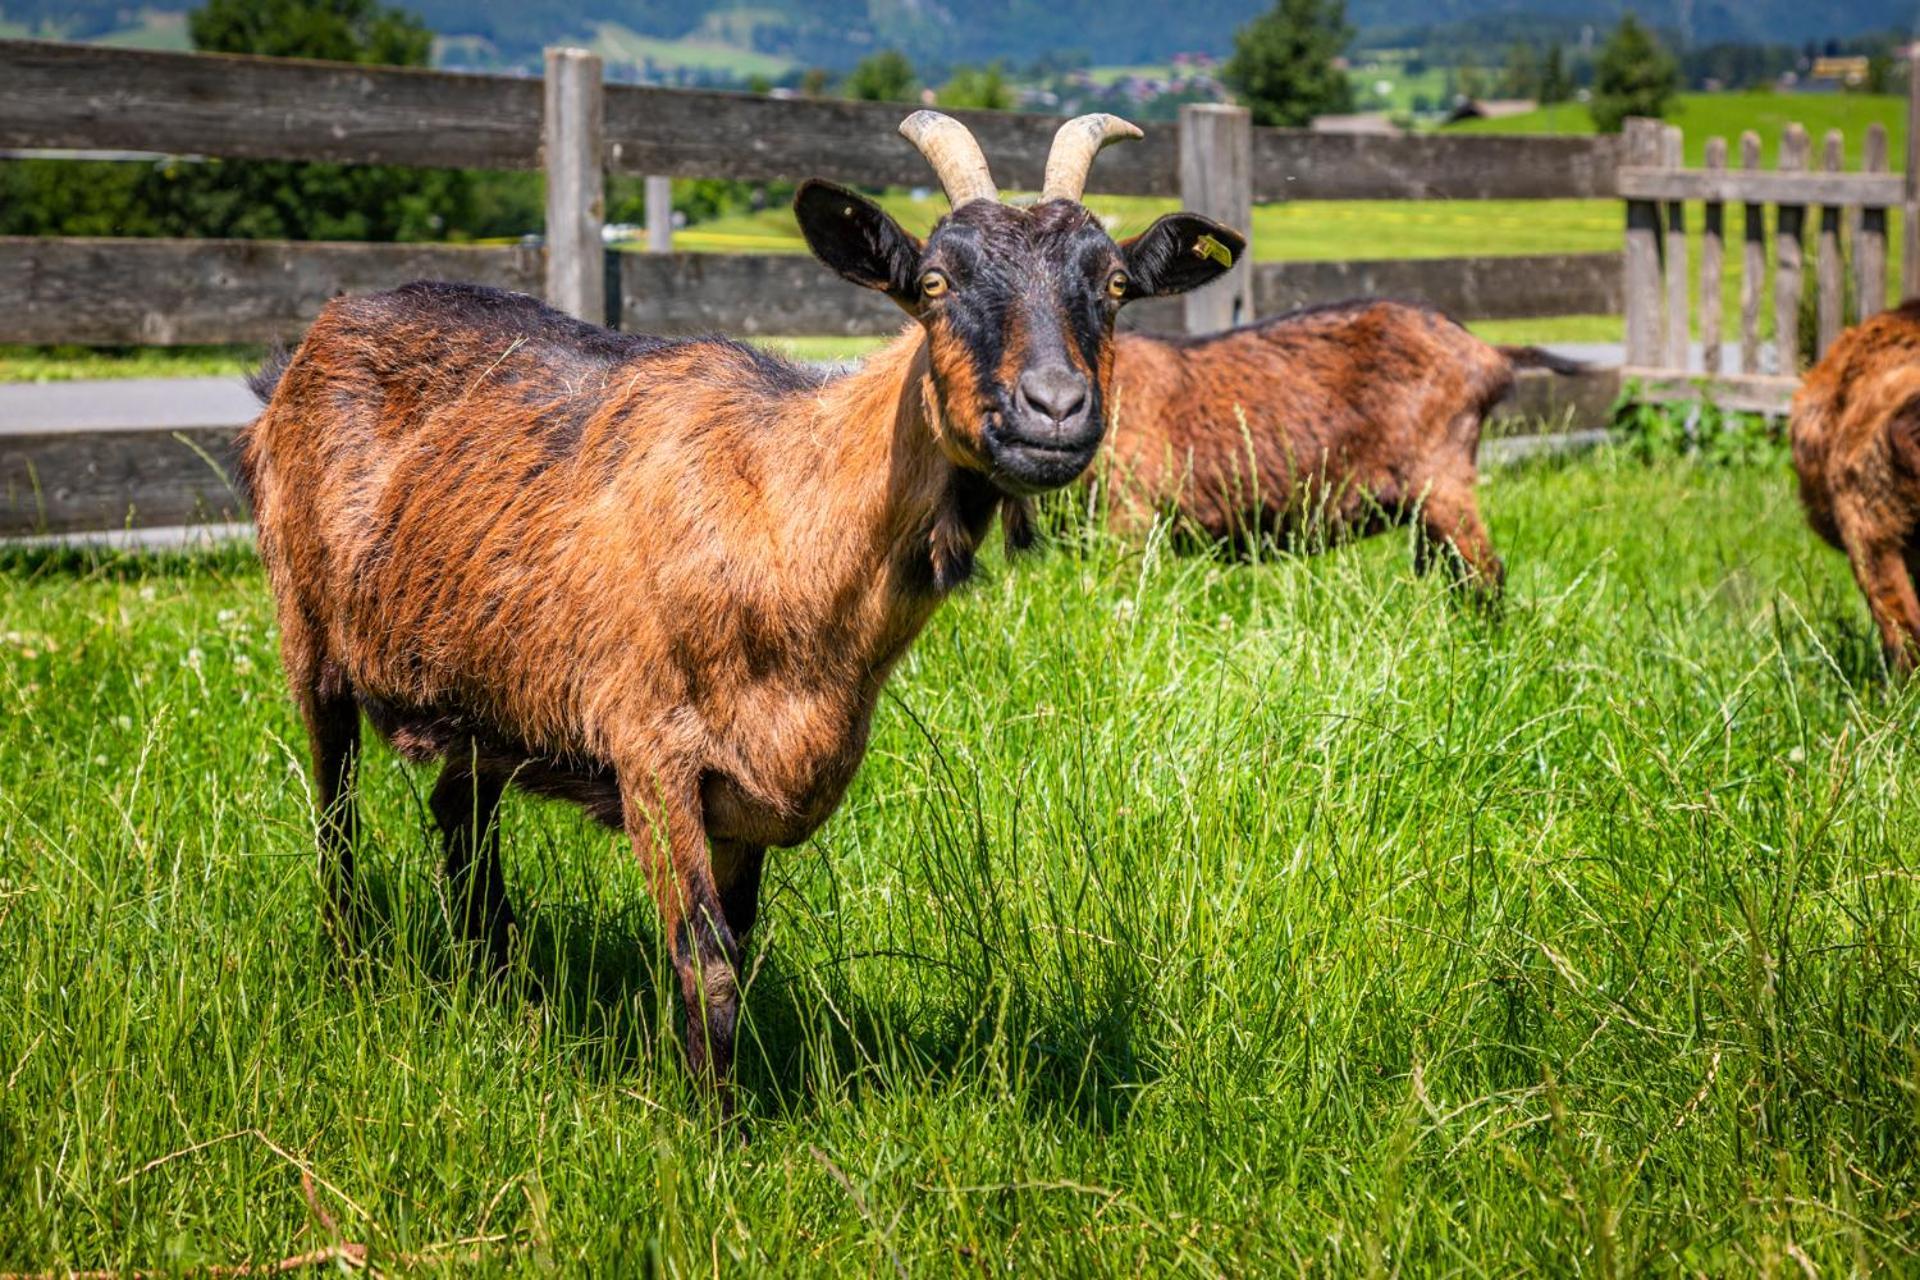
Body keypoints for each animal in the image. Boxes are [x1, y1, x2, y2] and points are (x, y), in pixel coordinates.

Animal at [243, 112, 1244, 1090]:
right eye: (933, 281)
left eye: (1114, 284)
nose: (1056, 409)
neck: (780, 509)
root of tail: (315, 336)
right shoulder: (651, 751)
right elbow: (708, 961)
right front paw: (713, 1129)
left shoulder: (758, 782)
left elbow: (741, 944)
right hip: (308, 631)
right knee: (336, 814)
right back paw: (348, 968)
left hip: (489, 692)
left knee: (460, 813)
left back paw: (497, 982)